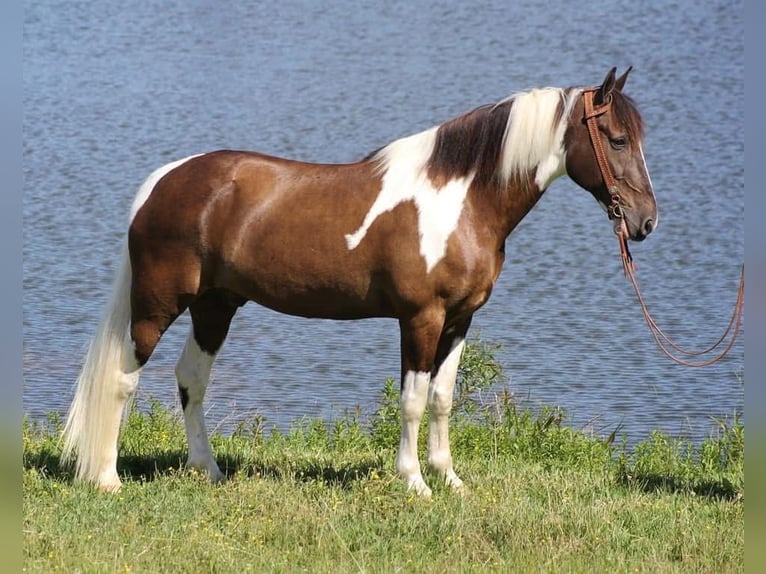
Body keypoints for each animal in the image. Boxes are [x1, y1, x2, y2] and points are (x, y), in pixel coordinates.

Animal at [61, 67, 660, 498]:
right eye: (616, 139)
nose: (645, 221)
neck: (461, 199)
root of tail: (164, 181)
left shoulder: (461, 319)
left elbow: (443, 399)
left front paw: (451, 481)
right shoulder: (421, 318)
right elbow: (413, 400)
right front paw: (414, 482)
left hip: (216, 306)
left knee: (192, 380)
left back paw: (208, 471)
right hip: (157, 305)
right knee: (123, 379)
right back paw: (107, 479)